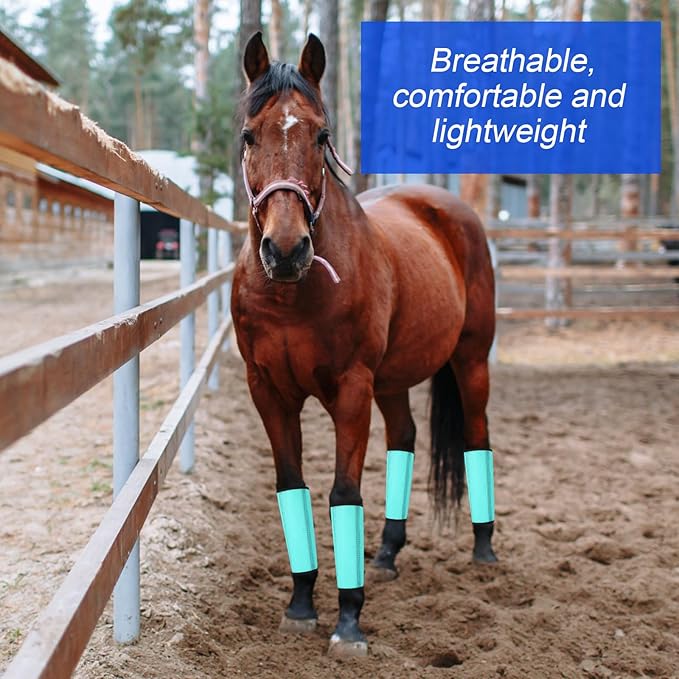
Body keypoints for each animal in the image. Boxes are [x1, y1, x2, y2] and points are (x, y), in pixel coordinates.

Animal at [231, 32, 497, 657]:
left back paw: (483, 548)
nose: (285, 250)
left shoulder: (351, 390)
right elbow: (292, 486)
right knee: (405, 437)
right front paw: (301, 604)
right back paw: (387, 553)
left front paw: (348, 620)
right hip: (393, 381)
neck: (292, 293)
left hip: (471, 360)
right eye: (249, 135)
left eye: (321, 135)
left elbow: (343, 494)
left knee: (476, 435)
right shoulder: (268, 392)